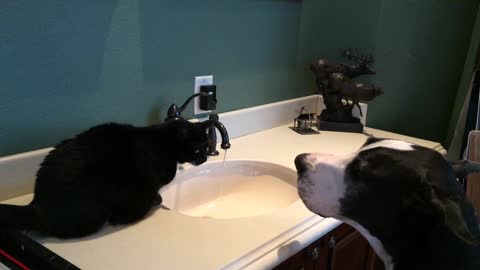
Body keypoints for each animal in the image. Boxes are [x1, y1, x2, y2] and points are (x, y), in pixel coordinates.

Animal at [0, 120, 210, 238]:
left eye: (207, 146)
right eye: (198, 149)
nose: (205, 159)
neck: (165, 142)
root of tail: (36, 205)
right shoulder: (148, 181)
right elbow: (150, 195)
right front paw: (153, 204)